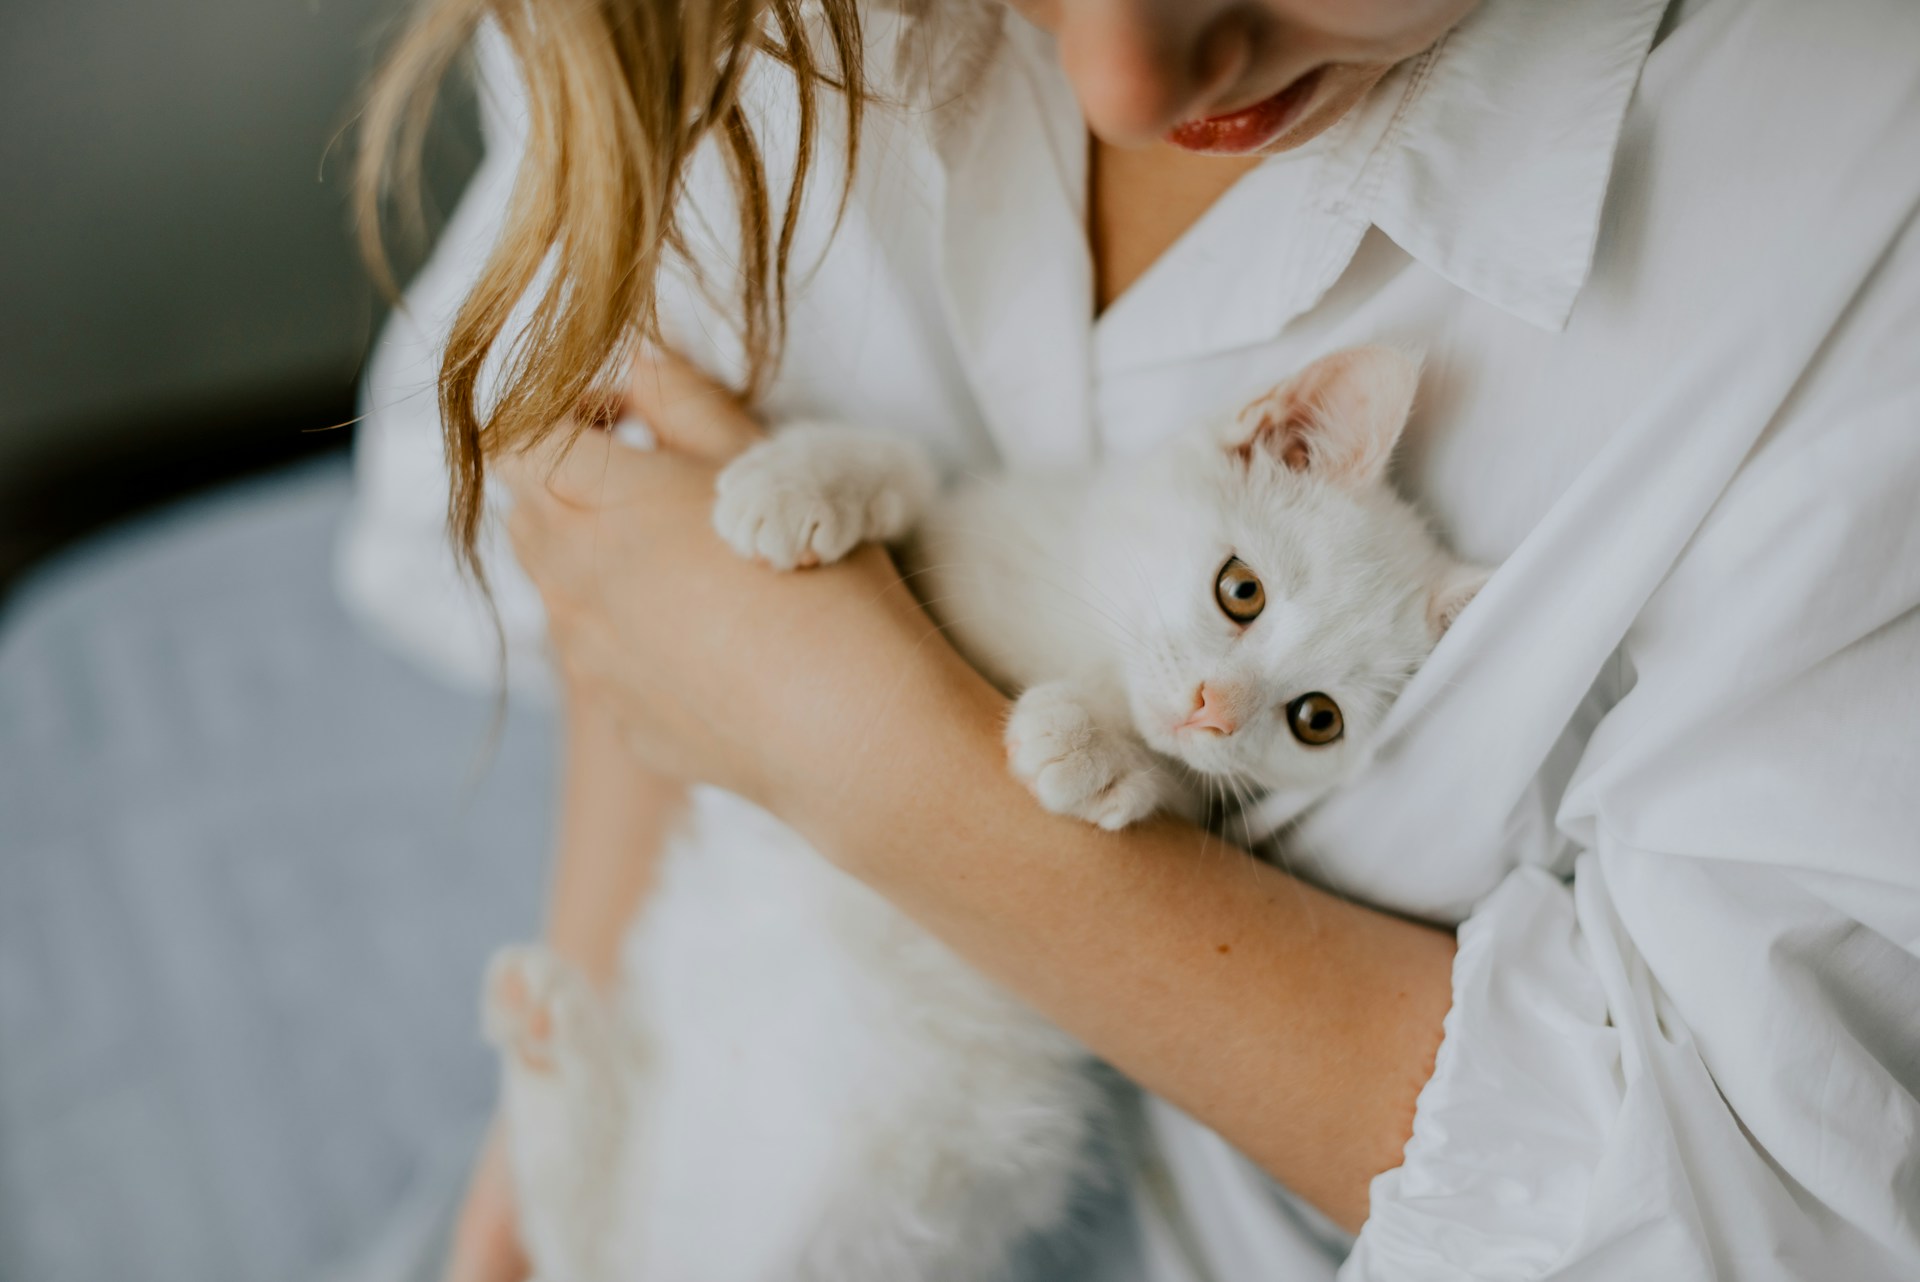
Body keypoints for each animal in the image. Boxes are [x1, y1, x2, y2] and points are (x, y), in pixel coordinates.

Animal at [491, 345, 1482, 1274]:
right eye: (1242, 591)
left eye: (1316, 720)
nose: (1213, 710)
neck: (1082, 635)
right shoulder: (965, 546)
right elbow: (922, 479)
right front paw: (808, 478)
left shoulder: (1198, 788)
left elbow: (1164, 780)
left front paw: (1092, 746)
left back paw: (546, 1044)